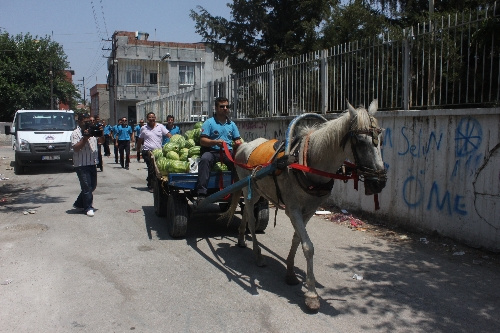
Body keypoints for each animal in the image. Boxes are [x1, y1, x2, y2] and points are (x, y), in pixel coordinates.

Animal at [224, 100, 386, 310]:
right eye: (359, 140)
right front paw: (311, 294)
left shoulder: (309, 210)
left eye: (380, 138)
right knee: (252, 220)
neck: (307, 161)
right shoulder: (293, 210)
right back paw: (258, 255)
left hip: (255, 191)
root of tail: (243, 145)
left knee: (246, 214)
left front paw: (291, 273)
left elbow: (296, 239)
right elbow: (308, 246)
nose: (379, 182)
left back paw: (242, 239)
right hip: (248, 188)